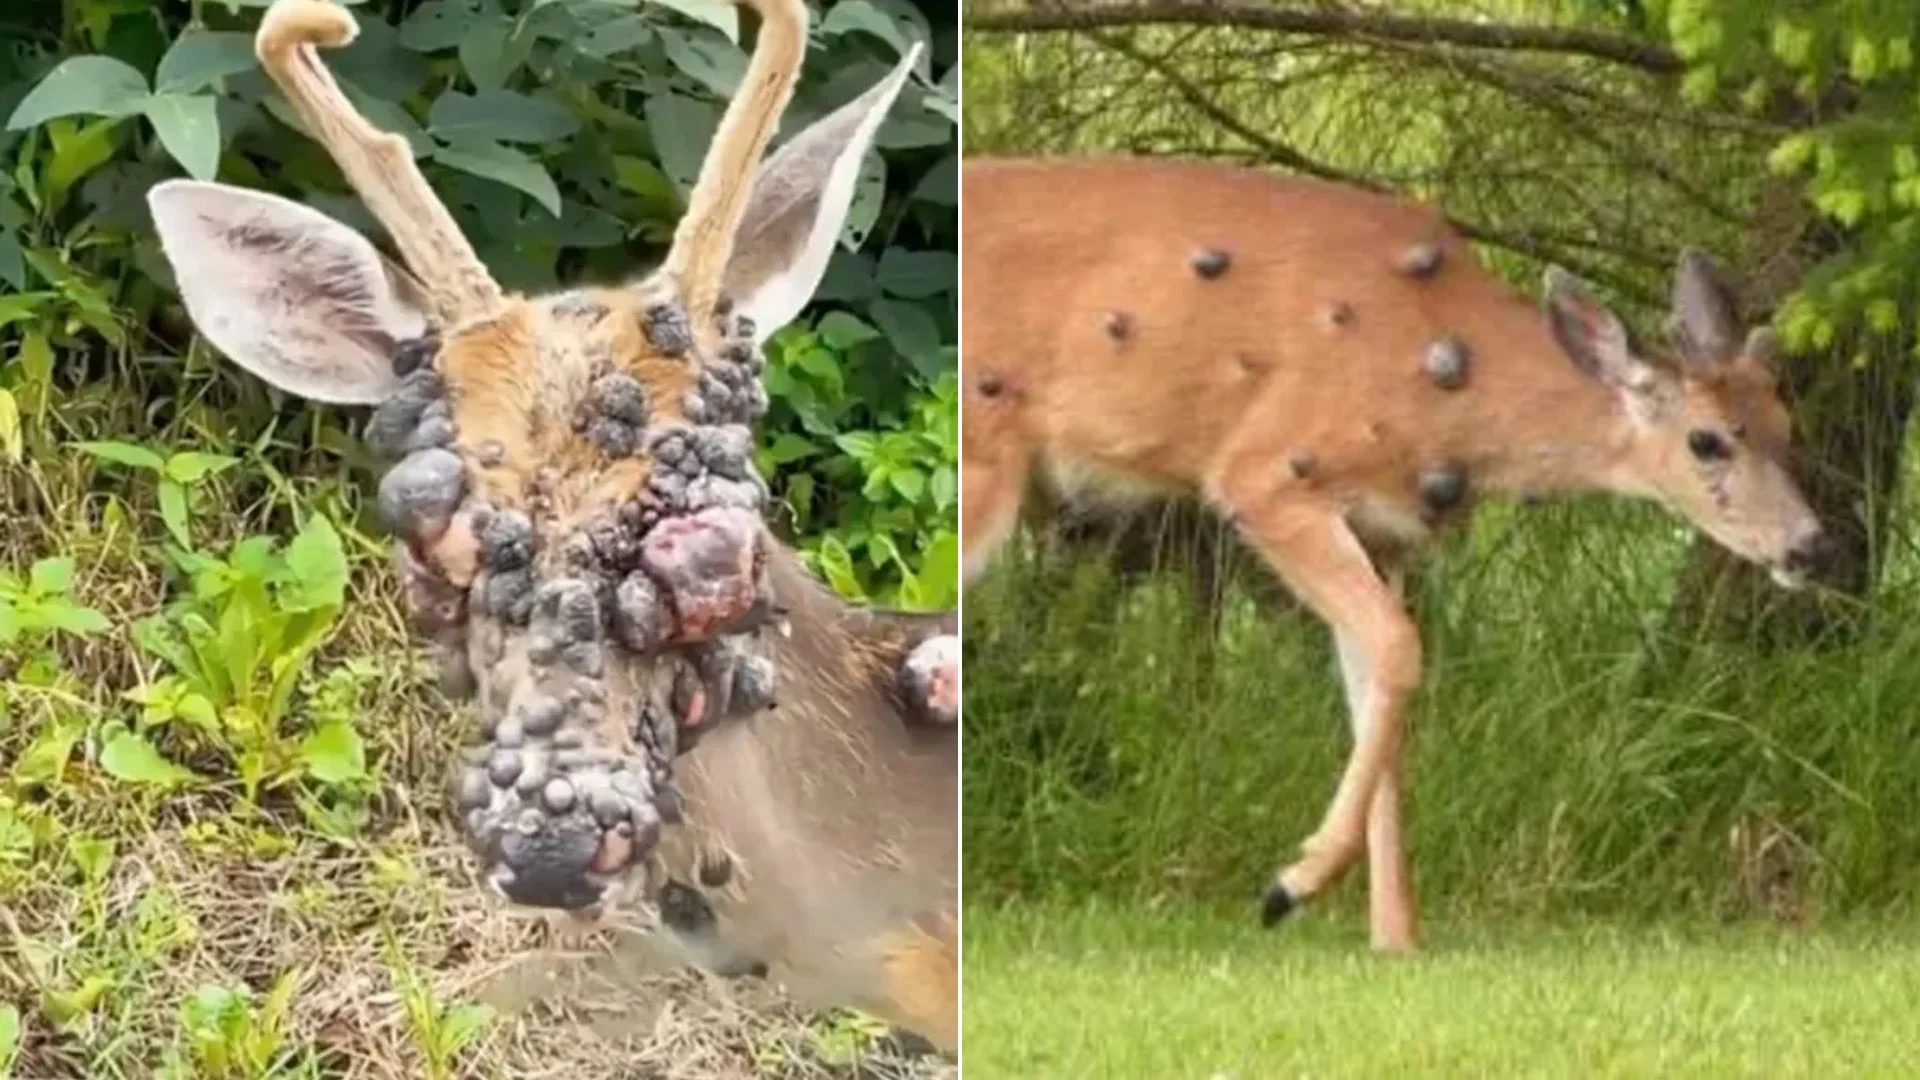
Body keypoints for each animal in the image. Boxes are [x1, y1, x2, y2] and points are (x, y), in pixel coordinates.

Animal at [961, 154, 1828, 954]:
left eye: (1786, 422)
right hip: (982, 465)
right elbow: (1402, 650)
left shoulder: (1383, 532)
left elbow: (1376, 683)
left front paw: (1394, 938)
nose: (1809, 545)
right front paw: (1290, 887)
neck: (1446, 370)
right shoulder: (1271, 475)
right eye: (1706, 440)